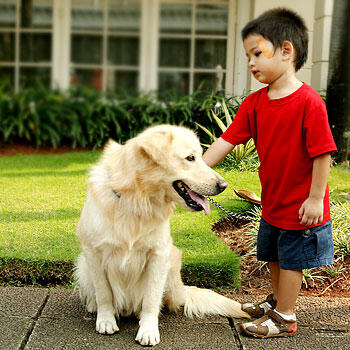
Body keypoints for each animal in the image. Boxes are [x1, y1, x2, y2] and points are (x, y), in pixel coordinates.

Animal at [75, 124, 250, 346]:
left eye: (200, 156)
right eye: (190, 158)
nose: (223, 185)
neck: (136, 200)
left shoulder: (158, 254)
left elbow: (151, 299)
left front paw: (148, 330)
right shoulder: (94, 253)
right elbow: (104, 292)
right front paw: (105, 320)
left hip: (172, 262)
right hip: (83, 263)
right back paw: (93, 305)